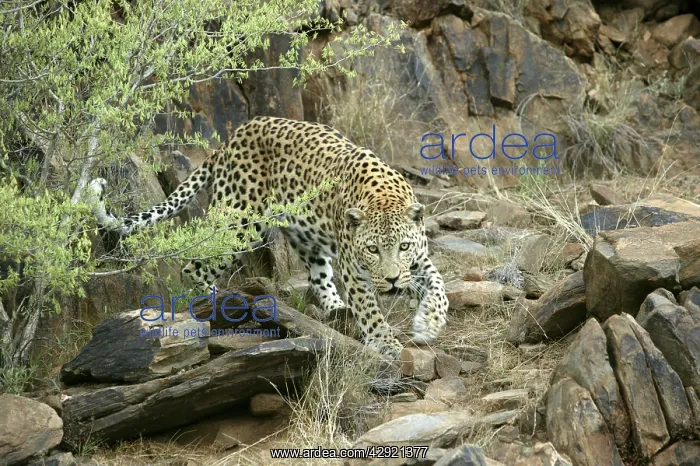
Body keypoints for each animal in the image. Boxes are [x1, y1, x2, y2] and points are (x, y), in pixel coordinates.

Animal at [87, 116, 449, 359]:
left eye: (403, 246)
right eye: (372, 249)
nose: (391, 280)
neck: (384, 197)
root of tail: (232, 138)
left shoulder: (419, 260)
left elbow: (439, 286)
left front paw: (429, 323)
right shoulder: (355, 272)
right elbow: (371, 311)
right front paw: (386, 343)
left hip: (302, 234)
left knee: (318, 276)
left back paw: (336, 308)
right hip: (240, 224)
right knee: (193, 266)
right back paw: (218, 304)